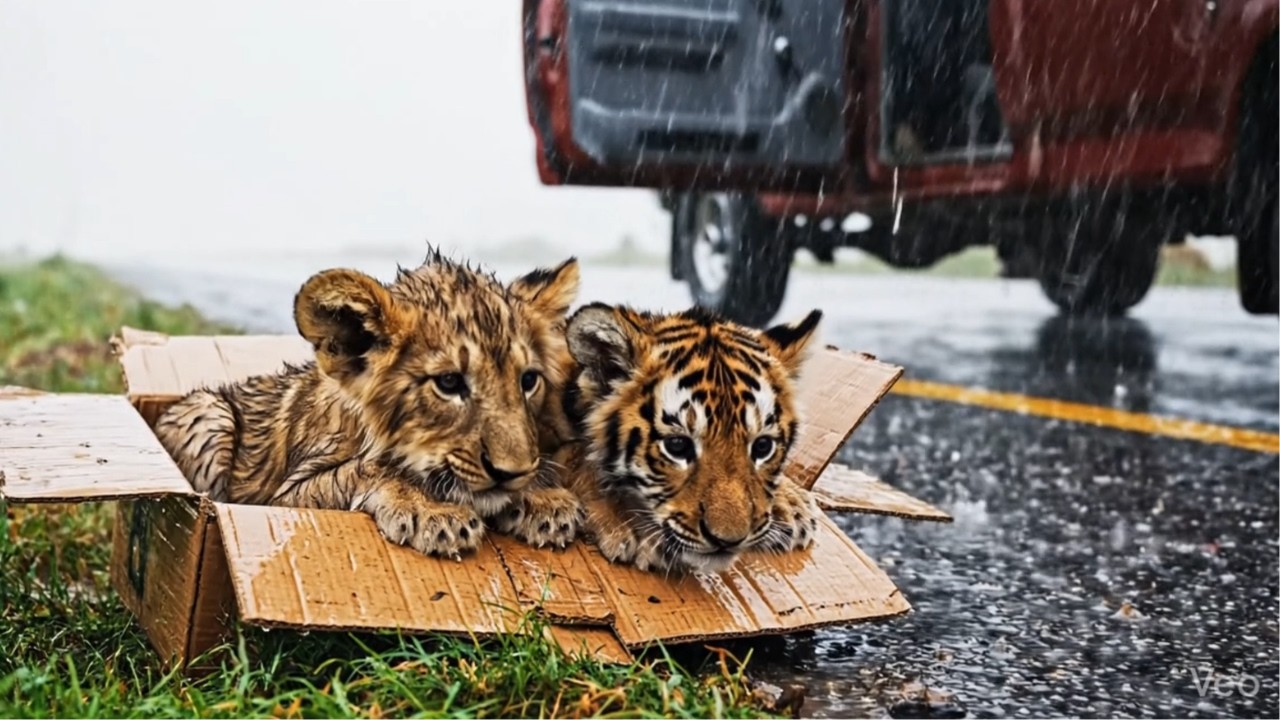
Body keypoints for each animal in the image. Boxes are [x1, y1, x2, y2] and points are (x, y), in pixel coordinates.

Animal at [152, 250, 584, 558]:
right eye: (449, 383)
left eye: (528, 381)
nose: (512, 472)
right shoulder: (286, 497)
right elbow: (368, 467)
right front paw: (432, 511)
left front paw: (544, 497)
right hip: (211, 415)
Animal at [526, 302, 825, 574]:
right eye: (678, 446)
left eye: (763, 447)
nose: (728, 540)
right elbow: (576, 460)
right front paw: (635, 526)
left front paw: (791, 503)